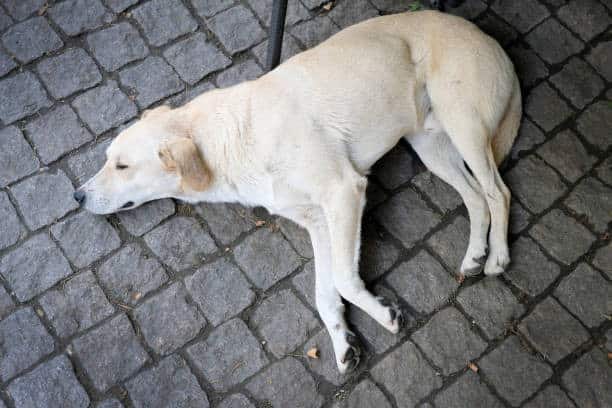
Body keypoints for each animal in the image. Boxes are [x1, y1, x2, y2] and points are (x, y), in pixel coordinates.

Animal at [76, 10, 520, 372]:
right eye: (107, 159)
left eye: (122, 166)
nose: (77, 196)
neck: (233, 137)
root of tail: (488, 37)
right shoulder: (319, 220)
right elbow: (325, 294)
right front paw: (343, 344)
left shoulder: (344, 191)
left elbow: (343, 278)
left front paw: (383, 315)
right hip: (431, 147)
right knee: (476, 197)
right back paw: (474, 255)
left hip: (463, 124)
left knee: (498, 192)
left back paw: (497, 257)